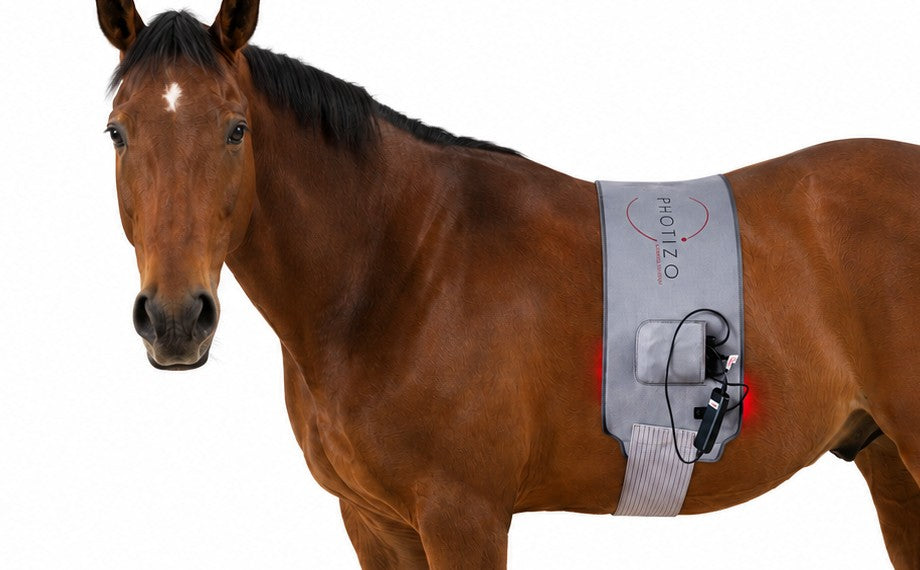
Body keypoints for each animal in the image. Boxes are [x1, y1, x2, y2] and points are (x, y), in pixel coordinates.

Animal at [95, 1, 920, 567]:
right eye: (118, 131)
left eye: (235, 128)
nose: (176, 319)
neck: (402, 269)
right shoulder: (375, 524)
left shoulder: (465, 517)